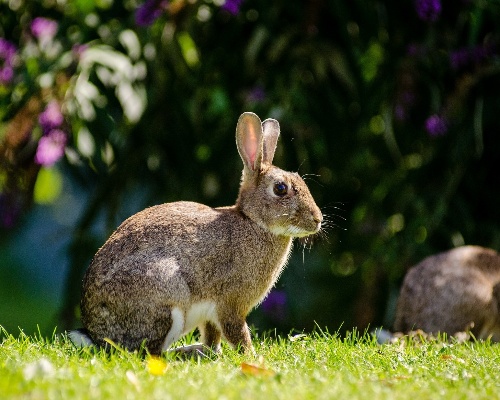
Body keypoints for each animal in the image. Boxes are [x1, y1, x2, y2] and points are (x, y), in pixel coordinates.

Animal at [68, 111, 322, 354]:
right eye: (280, 188)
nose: (318, 220)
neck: (253, 221)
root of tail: (96, 335)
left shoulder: (212, 314)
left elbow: (212, 335)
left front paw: (212, 352)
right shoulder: (230, 304)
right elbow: (236, 332)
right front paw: (251, 356)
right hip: (167, 295)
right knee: (149, 353)